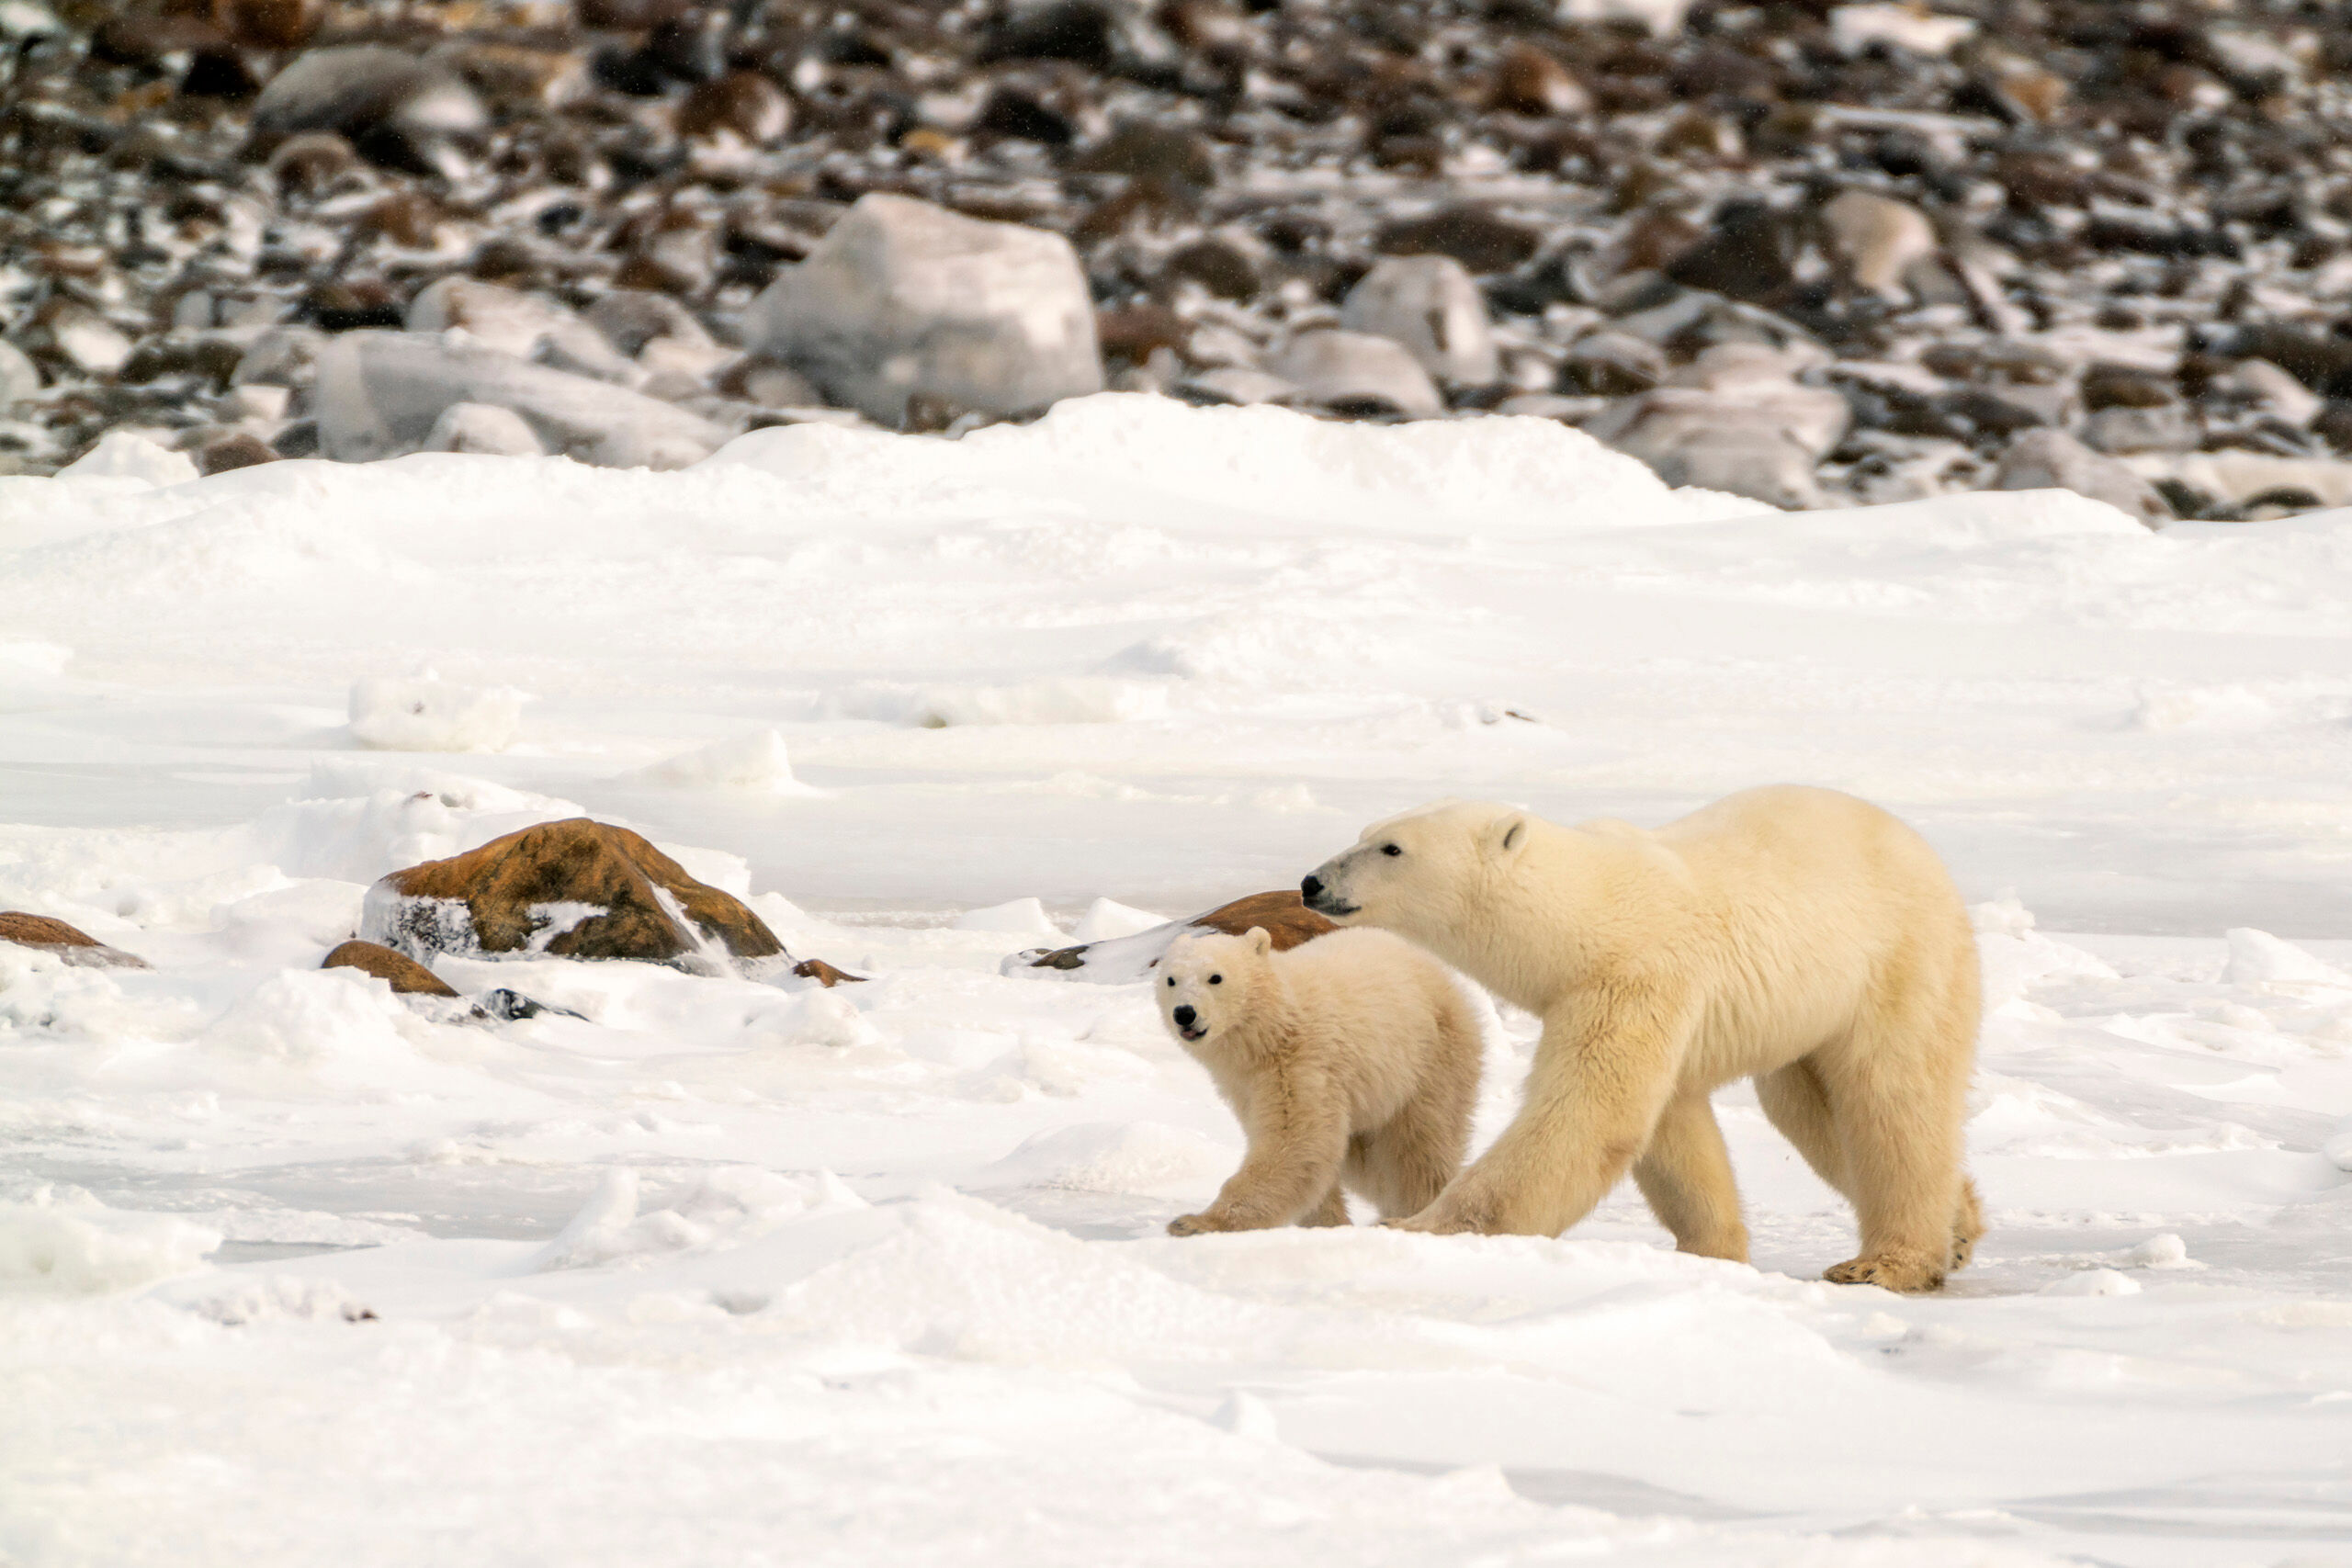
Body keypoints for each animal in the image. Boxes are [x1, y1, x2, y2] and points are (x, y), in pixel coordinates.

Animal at [1153, 925, 1485, 1236]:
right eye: (1171, 980)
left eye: (1215, 977)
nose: (1184, 1013)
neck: (1274, 1026)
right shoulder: (1244, 1085)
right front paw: (1327, 1223)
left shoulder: (1300, 1063)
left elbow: (1295, 1141)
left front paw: (1194, 1223)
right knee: (1369, 1164)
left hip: (1430, 1060)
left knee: (1419, 1148)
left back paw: (1415, 1209)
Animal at [1300, 786, 1983, 1294]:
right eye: (1365, 830)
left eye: (1392, 847)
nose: (1311, 882)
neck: (1586, 914)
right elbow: (1670, 1131)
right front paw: (1709, 1251)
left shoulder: (1633, 977)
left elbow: (1589, 1115)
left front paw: (1414, 1227)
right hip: (1808, 1012)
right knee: (1809, 1109)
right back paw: (1961, 1225)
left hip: (1897, 961)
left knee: (1891, 1098)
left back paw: (1886, 1263)